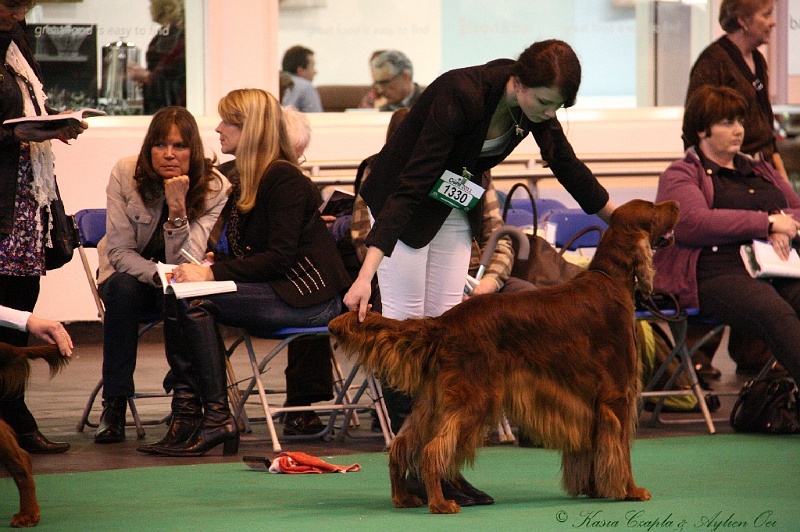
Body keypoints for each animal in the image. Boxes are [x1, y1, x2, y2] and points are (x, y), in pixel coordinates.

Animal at [328, 198, 680, 512]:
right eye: (653, 209)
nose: (675, 204)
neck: (611, 280)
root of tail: (444, 321)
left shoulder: (588, 403)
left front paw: (594, 489)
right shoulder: (617, 394)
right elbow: (621, 449)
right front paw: (630, 490)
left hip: (434, 401)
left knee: (403, 446)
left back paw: (404, 498)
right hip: (473, 398)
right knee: (432, 451)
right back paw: (441, 503)